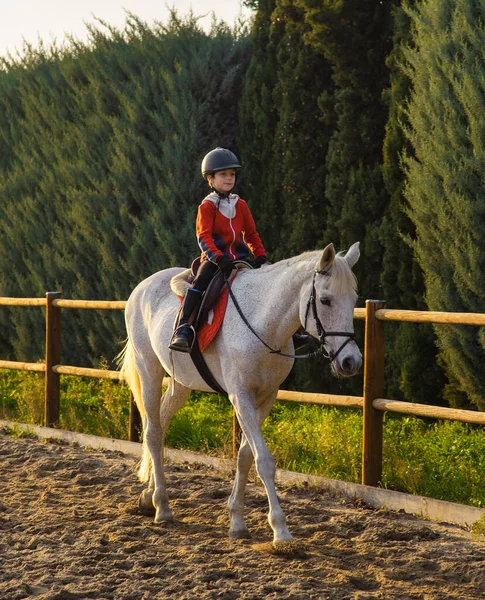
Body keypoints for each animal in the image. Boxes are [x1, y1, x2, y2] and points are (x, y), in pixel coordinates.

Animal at [118, 241, 360, 548]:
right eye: (326, 300)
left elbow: (245, 456)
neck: (262, 322)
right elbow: (264, 461)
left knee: (160, 427)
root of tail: (142, 286)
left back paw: (149, 497)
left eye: (353, 299)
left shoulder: (266, 397)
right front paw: (281, 531)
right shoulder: (240, 396)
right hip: (149, 369)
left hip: (180, 383)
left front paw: (237, 522)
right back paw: (162, 507)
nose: (351, 362)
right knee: (151, 431)